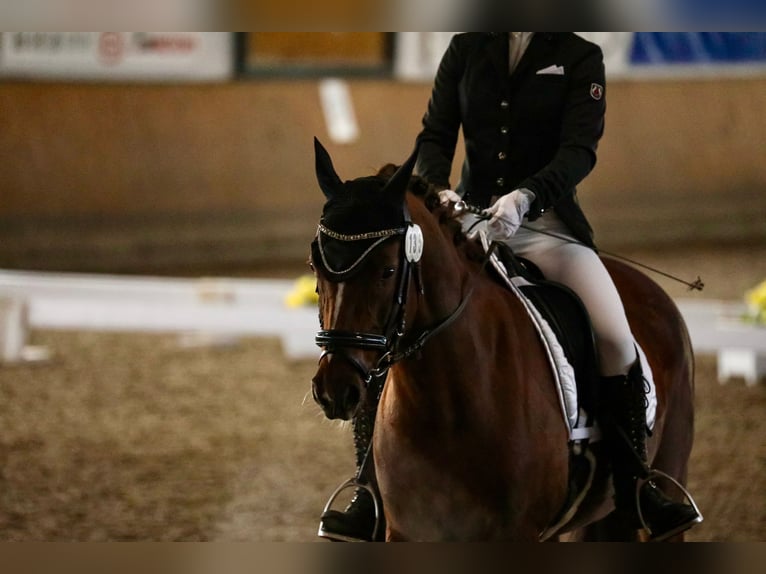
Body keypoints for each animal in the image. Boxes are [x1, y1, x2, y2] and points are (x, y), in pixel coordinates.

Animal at [308, 141, 700, 544]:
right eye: (314, 267)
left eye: (387, 270)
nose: (333, 390)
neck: (446, 405)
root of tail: (652, 289)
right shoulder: (406, 531)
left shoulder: (520, 533)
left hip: (670, 467)